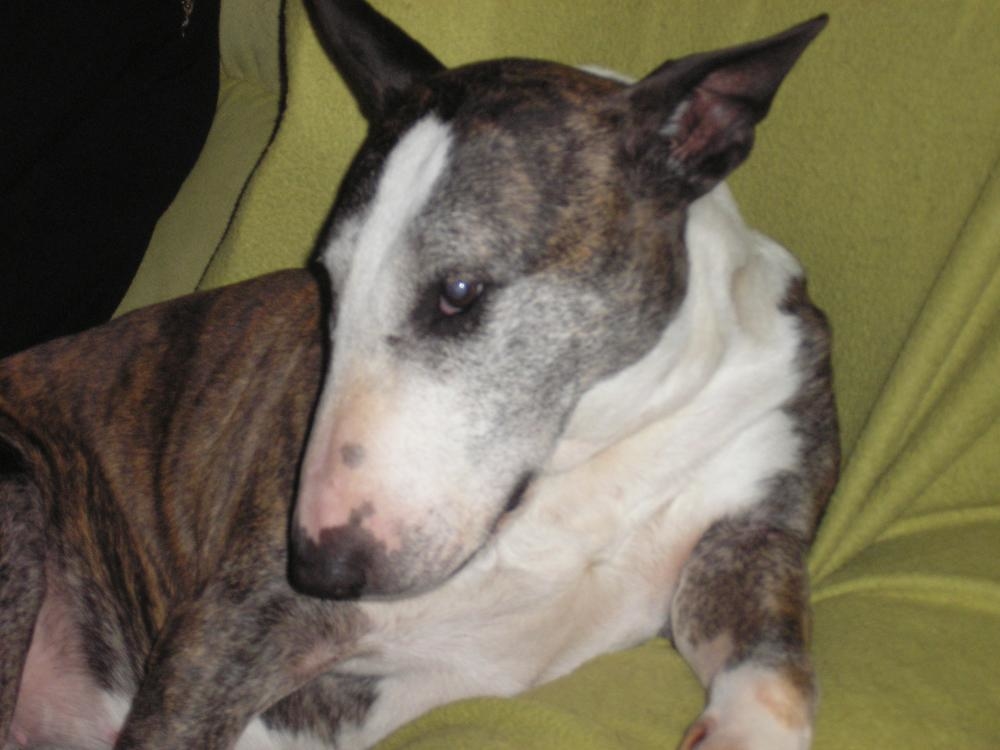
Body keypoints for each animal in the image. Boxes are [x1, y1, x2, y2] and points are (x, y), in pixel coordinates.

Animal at [0, 2, 837, 748]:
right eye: (330, 286)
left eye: (459, 292)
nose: (319, 569)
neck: (592, 450)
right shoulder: (235, 624)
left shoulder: (755, 525)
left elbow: (776, 664)